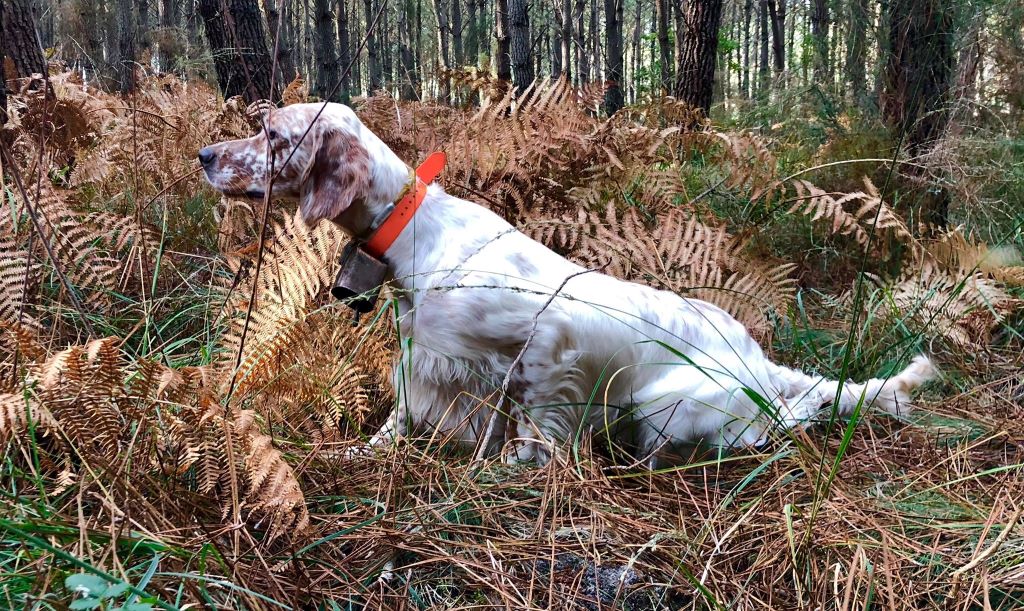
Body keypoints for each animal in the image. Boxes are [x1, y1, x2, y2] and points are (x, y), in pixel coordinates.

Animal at [199, 102, 937, 464]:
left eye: (270, 133)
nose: (205, 154)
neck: (414, 230)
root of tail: (759, 357)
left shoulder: (545, 347)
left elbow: (534, 424)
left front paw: (515, 471)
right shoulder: (427, 359)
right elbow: (400, 416)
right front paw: (361, 453)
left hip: (665, 405)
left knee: (769, 428)